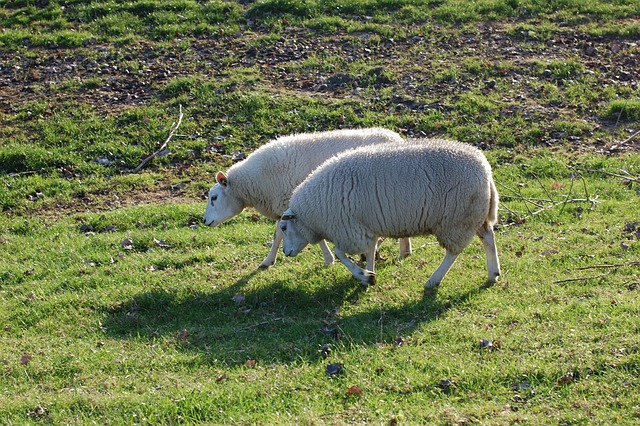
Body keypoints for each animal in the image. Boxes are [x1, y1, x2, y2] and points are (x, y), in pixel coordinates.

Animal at [205, 126, 416, 268]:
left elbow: (287, 234)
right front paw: (269, 260)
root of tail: (396, 138)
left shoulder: (296, 206)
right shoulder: (287, 208)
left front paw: (329, 260)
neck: (256, 183)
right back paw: (404, 251)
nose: (205, 221)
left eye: (214, 197)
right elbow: (278, 235)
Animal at [280, 138, 500, 288]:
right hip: (474, 215)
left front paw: (363, 275)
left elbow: (340, 253)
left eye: (283, 227)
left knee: (453, 252)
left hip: (457, 219)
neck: (313, 214)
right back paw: (493, 273)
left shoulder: (350, 230)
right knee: (488, 237)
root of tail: (485, 169)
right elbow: (369, 251)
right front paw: (369, 274)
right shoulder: (366, 228)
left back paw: (433, 280)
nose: (285, 252)